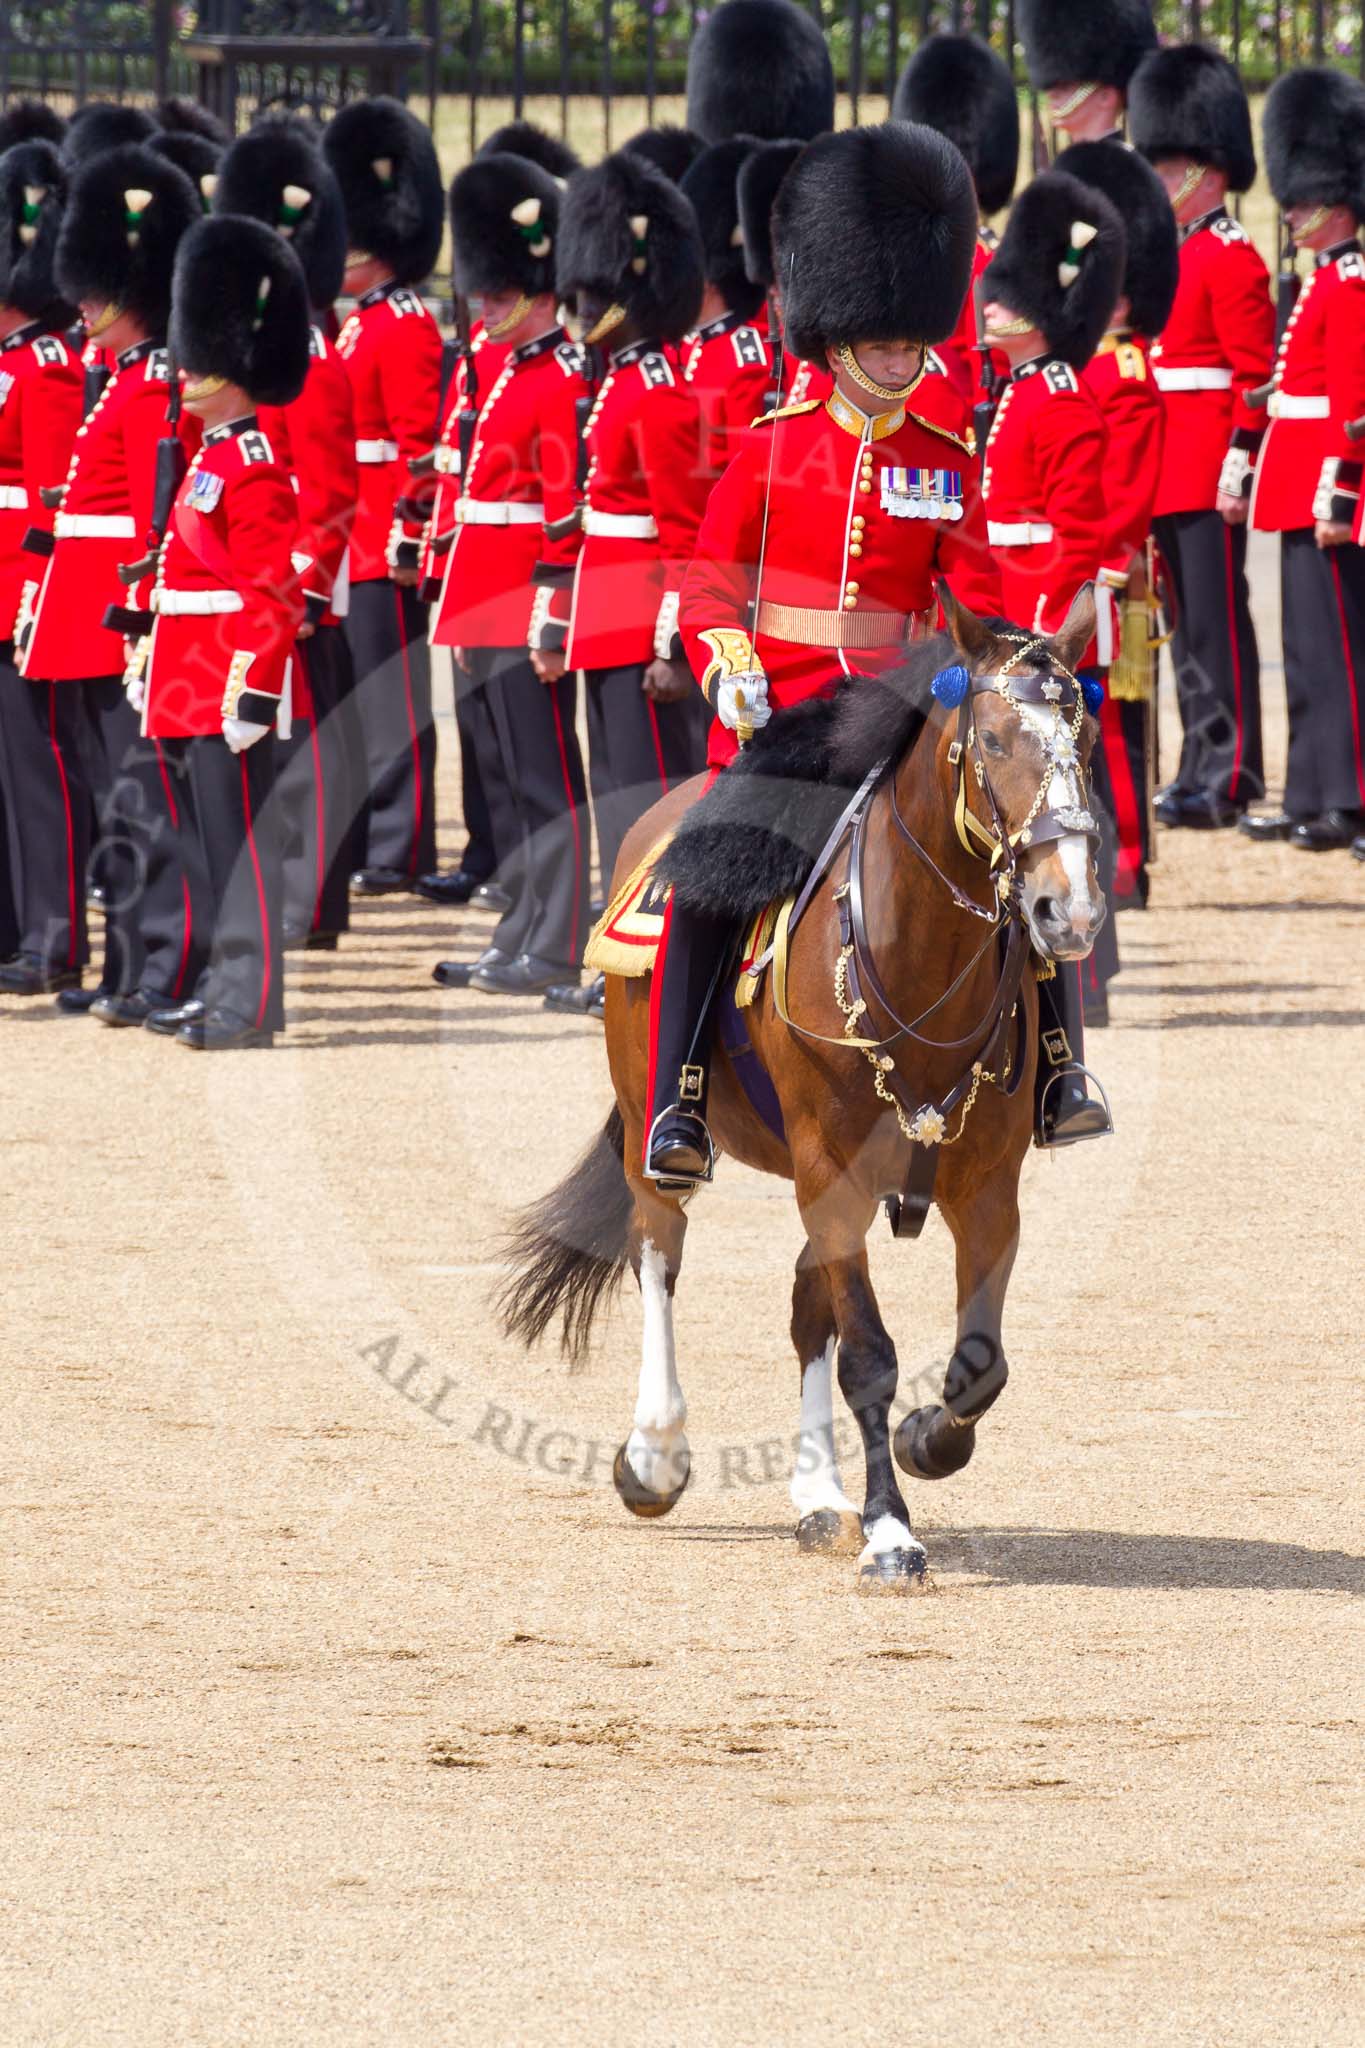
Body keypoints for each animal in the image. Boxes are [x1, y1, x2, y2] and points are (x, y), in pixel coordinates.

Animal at [499, 584, 1106, 1592]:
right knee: (657, 1251)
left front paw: (923, 1442)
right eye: (990, 741)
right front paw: (892, 1532)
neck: (919, 957)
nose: (1070, 909)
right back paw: (655, 1456)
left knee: (802, 1306)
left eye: (1085, 739)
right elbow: (869, 1355)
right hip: (658, 1130)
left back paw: (819, 1495)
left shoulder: (985, 1189)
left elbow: (977, 1364)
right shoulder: (835, 1174)